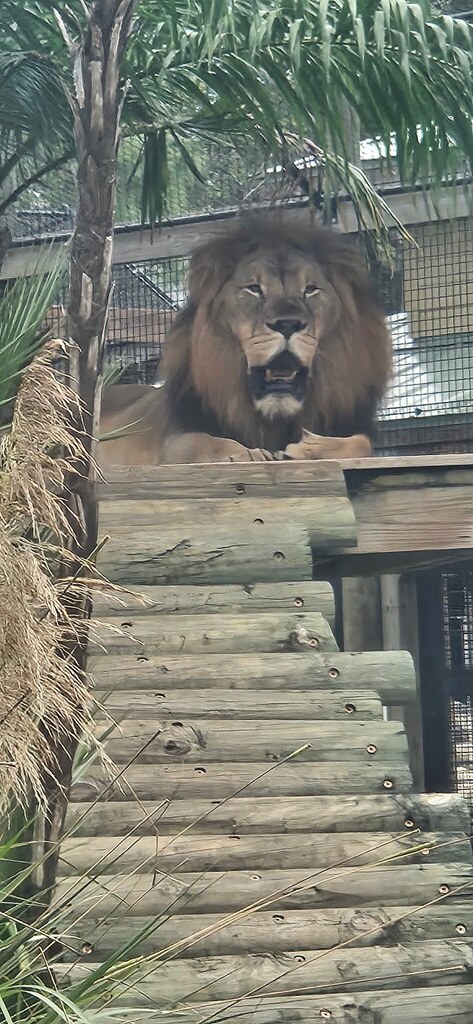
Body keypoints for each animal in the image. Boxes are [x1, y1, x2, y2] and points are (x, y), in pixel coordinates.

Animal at [99, 215, 391, 467]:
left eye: (310, 289)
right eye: (254, 289)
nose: (287, 324)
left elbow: (362, 443)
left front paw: (312, 449)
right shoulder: (175, 437)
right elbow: (198, 443)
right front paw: (244, 454)